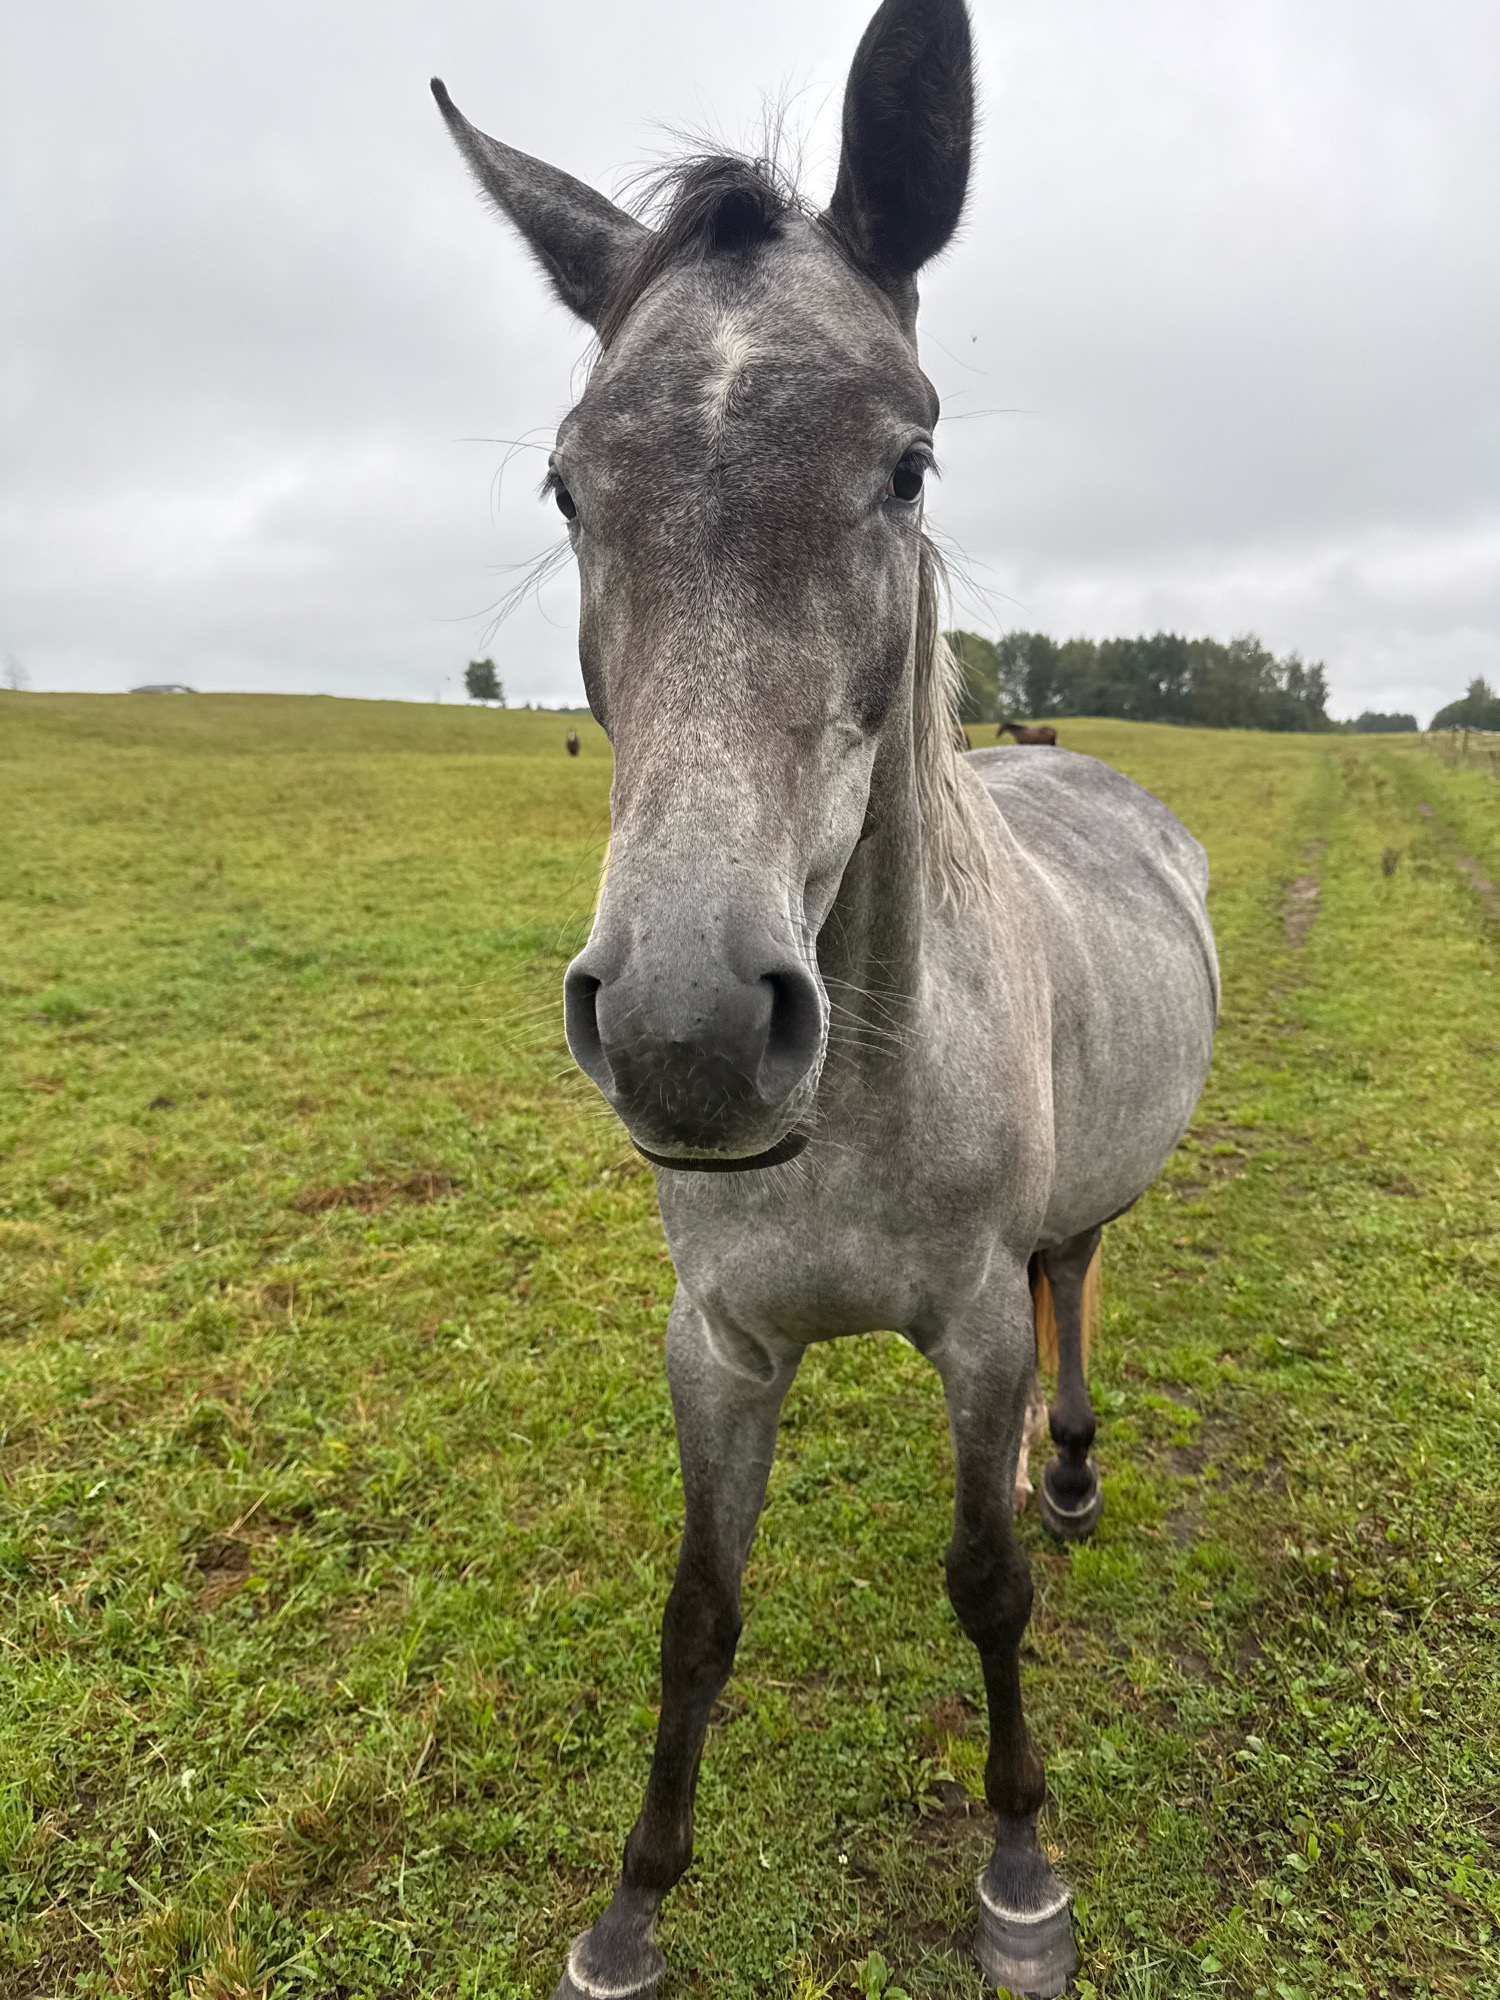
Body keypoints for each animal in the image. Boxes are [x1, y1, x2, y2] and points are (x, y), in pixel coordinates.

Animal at [433, 4, 1218, 1993]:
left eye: (910, 464)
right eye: (572, 485)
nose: (691, 1029)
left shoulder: (972, 1327)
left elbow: (985, 1587)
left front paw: (1020, 1873)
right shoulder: (714, 1344)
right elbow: (699, 1612)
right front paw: (632, 1901)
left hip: (1077, 1220)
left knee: (1077, 1274)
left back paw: (1070, 1471)